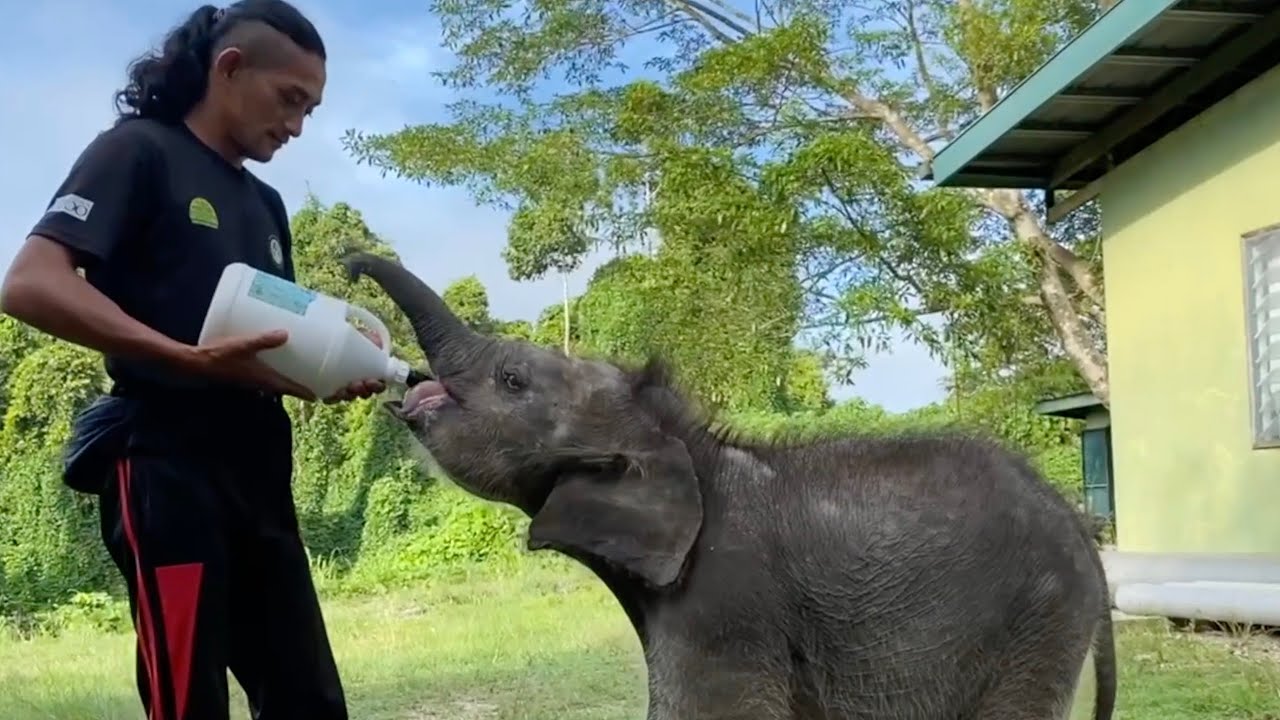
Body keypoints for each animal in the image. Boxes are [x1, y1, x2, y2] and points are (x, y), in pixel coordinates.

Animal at [339, 252, 1117, 720]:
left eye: (512, 380)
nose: (348, 263)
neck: (681, 445)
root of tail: (1076, 524)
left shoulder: (726, 602)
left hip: (1037, 622)